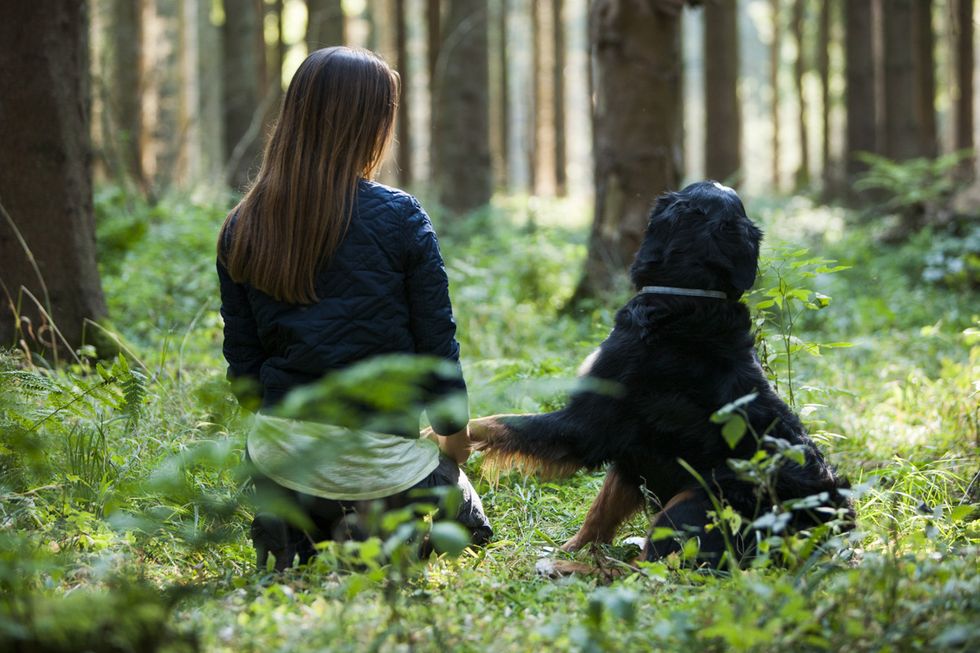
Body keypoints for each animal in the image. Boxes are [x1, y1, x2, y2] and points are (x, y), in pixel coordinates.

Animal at [470, 180, 852, 564]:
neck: (688, 297)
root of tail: (832, 532)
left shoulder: (587, 423)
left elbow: (497, 423)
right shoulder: (634, 447)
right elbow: (600, 511)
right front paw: (573, 548)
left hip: (699, 500)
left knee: (654, 568)